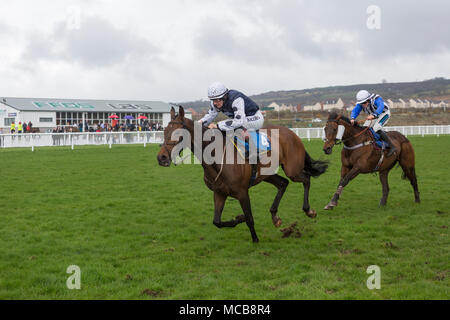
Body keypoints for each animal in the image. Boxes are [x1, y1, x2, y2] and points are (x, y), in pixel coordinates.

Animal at [156, 106, 326, 241]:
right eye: (164, 131)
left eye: (178, 133)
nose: (161, 157)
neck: (216, 157)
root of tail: (292, 133)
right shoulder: (219, 193)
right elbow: (217, 222)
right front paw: (239, 218)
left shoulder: (242, 192)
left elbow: (250, 218)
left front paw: (255, 239)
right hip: (267, 174)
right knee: (283, 184)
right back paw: (275, 216)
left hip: (292, 170)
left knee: (306, 179)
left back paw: (309, 210)